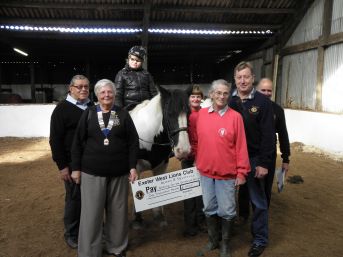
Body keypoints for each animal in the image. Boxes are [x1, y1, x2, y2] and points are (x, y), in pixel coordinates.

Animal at [129, 85, 194, 227]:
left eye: (189, 113)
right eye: (169, 114)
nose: (184, 150)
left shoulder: (161, 165)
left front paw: (159, 216)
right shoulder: (135, 168)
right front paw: (137, 219)